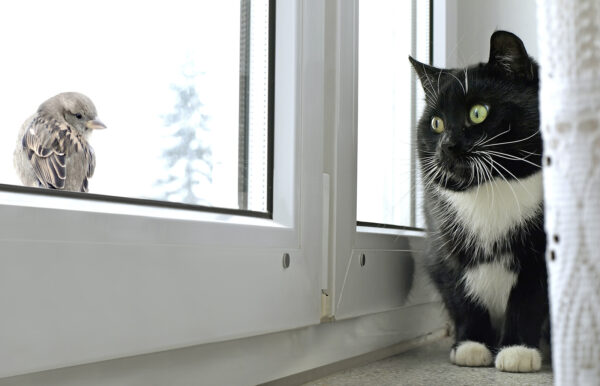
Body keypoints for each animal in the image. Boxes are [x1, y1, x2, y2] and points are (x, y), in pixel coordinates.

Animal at [410, 31, 548, 372]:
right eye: (436, 123)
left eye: (478, 113)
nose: (447, 145)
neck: (492, 189)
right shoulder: (442, 243)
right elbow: (461, 294)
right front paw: (471, 345)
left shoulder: (541, 251)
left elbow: (530, 297)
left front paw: (517, 350)